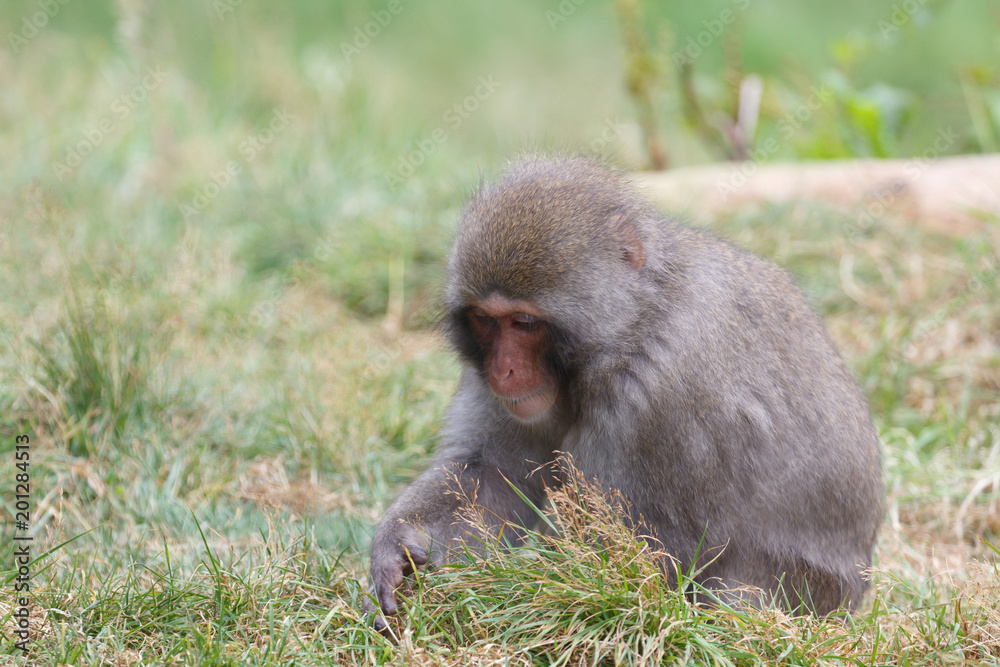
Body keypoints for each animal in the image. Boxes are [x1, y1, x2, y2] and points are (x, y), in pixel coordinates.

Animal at [364, 155, 884, 629]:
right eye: (485, 320)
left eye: (524, 322)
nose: (503, 371)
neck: (632, 326)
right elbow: (494, 474)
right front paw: (398, 546)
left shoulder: (662, 394)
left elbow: (633, 562)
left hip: (806, 589)